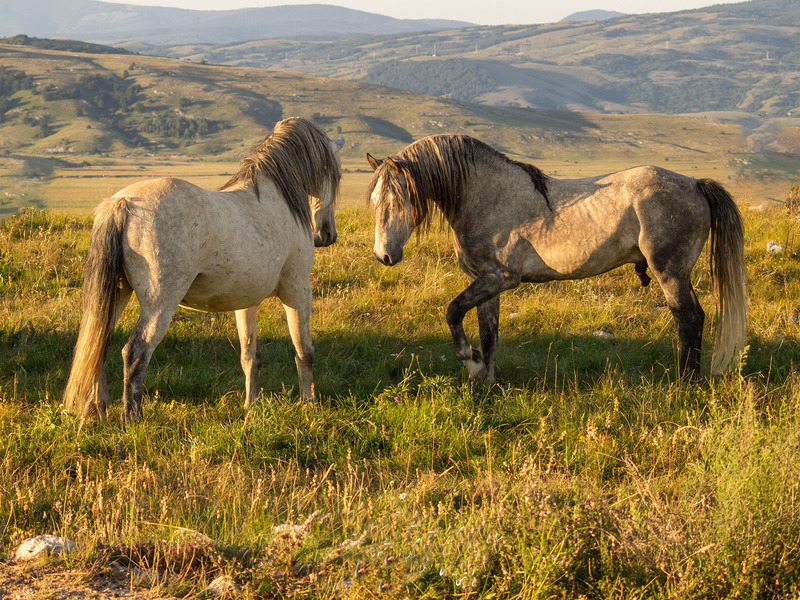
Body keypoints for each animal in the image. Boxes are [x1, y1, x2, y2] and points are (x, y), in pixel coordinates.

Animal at [64, 117, 344, 425]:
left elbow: (250, 355)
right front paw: (309, 404)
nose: (326, 235)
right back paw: (132, 418)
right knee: (135, 351)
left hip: (116, 295)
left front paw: (252, 404)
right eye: (336, 175)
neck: (277, 199)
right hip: (160, 303)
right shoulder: (297, 292)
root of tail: (123, 203)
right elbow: (304, 350)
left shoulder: (246, 302)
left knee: (97, 344)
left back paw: (97, 408)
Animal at [366, 134, 747, 383]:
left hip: (670, 274)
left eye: (400, 199)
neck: (489, 198)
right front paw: (487, 381)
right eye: (374, 200)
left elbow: (453, 312)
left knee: (689, 320)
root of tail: (695, 185)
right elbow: (488, 333)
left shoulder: (500, 279)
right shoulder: (485, 283)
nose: (384, 255)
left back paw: (685, 383)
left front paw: (469, 362)